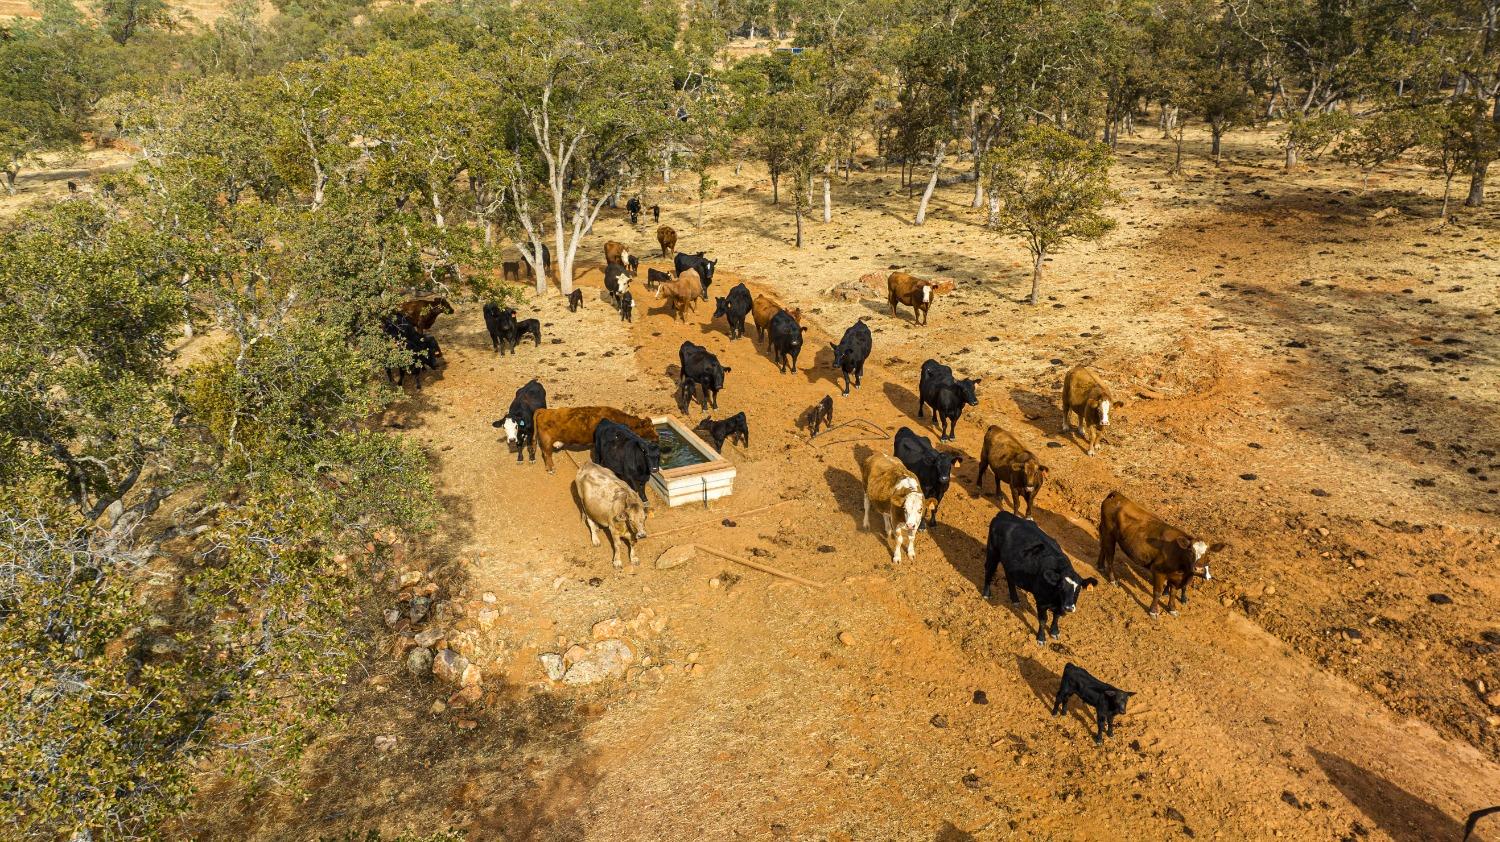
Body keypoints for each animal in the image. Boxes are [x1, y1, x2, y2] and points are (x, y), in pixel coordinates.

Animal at [984, 513, 1104, 642]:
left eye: (1079, 588)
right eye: (1061, 587)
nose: (1069, 607)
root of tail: (1002, 514)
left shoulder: (1058, 606)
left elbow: (1056, 617)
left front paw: (1054, 631)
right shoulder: (1041, 602)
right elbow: (1043, 620)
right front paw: (1041, 638)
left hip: (1009, 564)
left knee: (1009, 578)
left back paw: (1015, 599)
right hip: (992, 551)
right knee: (989, 570)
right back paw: (986, 593)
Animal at [1098, 486, 1224, 618]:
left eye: (1208, 552)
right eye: (1190, 551)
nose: (1198, 569)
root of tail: (1117, 495)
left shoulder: (1175, 578)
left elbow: (1173, 593)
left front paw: (1172, 609)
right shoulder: (1158, 571)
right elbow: (1157, 592)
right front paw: (1153, 611)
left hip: (1106, 533)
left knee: (1103, 547)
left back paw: (1100, 566)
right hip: (1109, 534)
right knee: (1110, 558)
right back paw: (1112, 580)